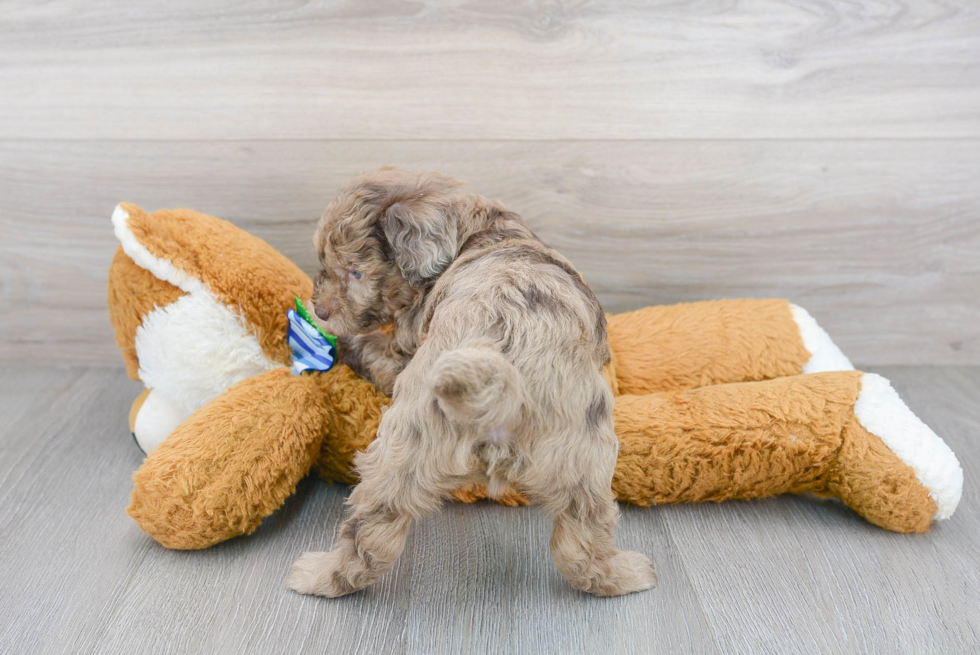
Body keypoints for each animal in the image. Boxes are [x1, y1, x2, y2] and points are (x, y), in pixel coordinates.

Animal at [288, 169, 656, 600]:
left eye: (355, 273)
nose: (321, 309)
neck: (485, 231)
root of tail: (500, 388)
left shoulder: (404, 346)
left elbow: (375, 347)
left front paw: (342, 341)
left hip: (406, 445)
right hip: (585, 457)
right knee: (583, 540)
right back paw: (626, 575)